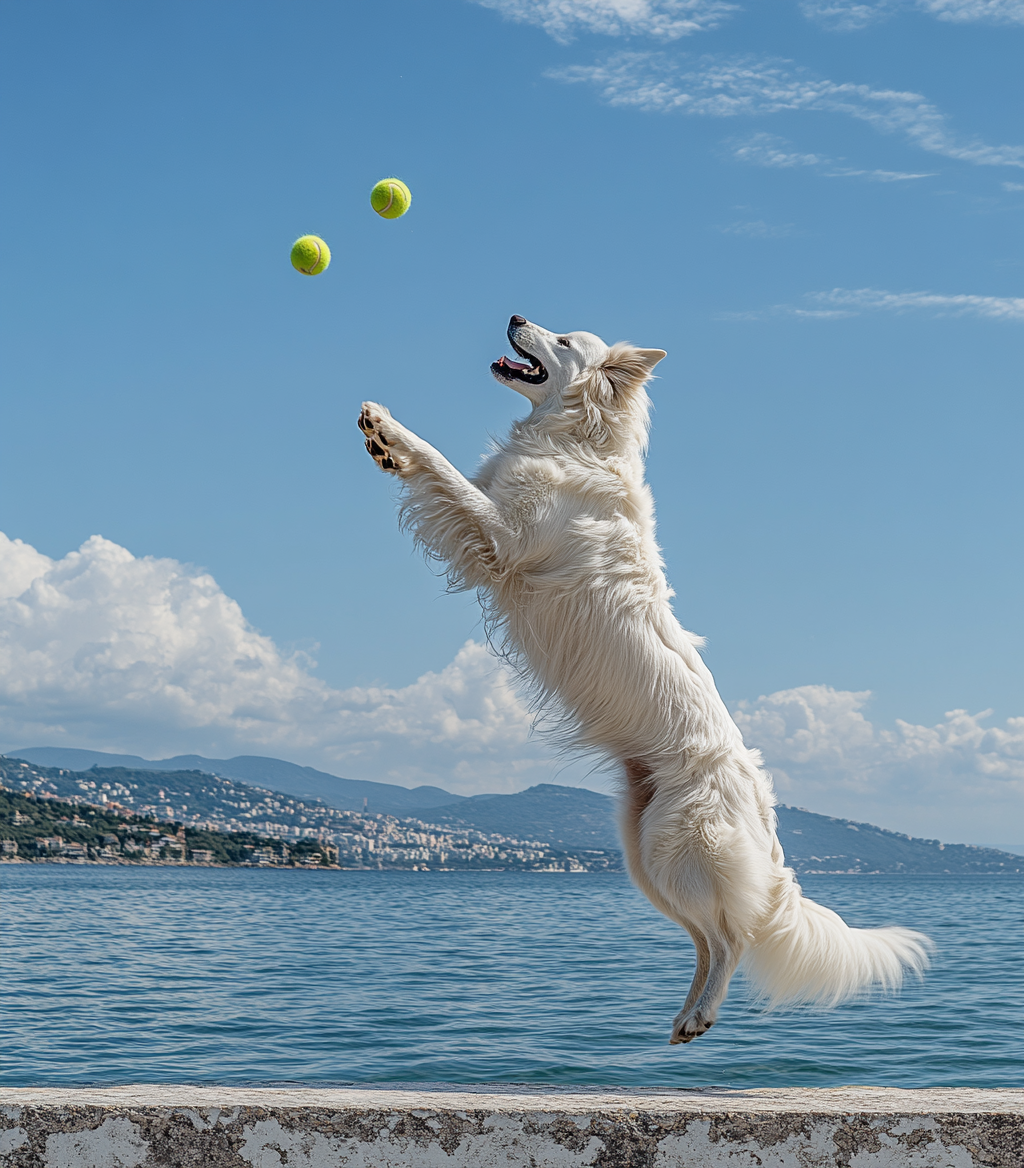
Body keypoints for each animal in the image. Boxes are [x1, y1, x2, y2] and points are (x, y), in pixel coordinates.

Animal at [357, 315, 924, 1046]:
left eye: (563, 341)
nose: (514, 316)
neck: (580, 436)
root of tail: (761, 805)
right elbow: (441, 479)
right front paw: (383, 449)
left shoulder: (502, 535)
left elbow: (443, 468)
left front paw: (388, 429)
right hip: (646, 856)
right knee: (708, 937)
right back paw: (686, 1018)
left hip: (679, 850)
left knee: (733, 937)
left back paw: (703, 1012)